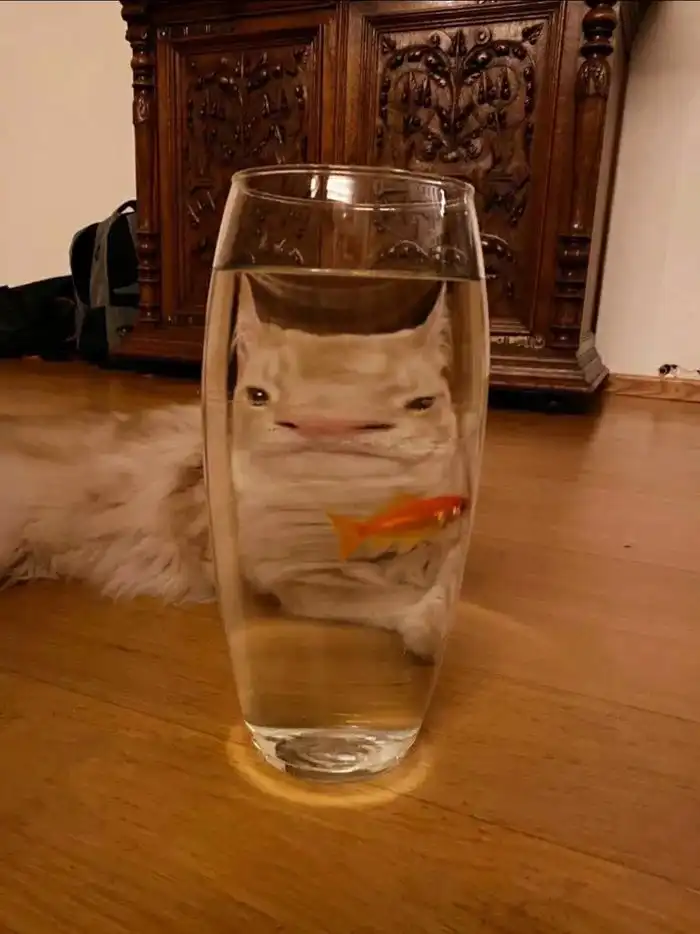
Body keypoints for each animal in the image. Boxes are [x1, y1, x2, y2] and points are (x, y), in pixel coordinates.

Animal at [0, 275, 471, 659]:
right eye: (258, 396)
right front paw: (426, 620)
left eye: (421, 403)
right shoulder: (286, 577)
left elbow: (435, 562)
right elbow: (379, 595)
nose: (324, 429)